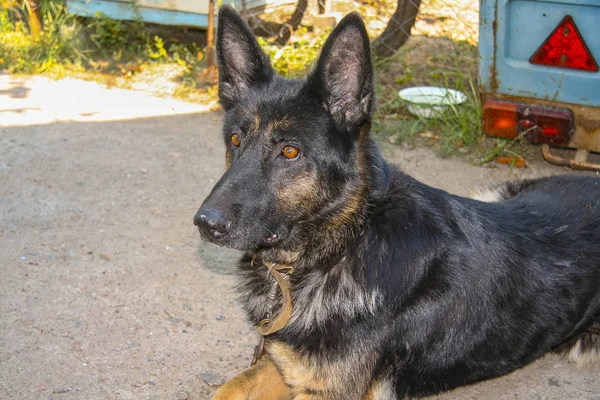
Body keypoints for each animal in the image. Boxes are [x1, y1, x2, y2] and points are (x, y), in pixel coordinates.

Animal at [196, 6, 600, 400]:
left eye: (290, 151)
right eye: (235, 140)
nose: (205, 223)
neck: (343, 244)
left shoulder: (328, 389)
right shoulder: (282, 361)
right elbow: (228, 389)